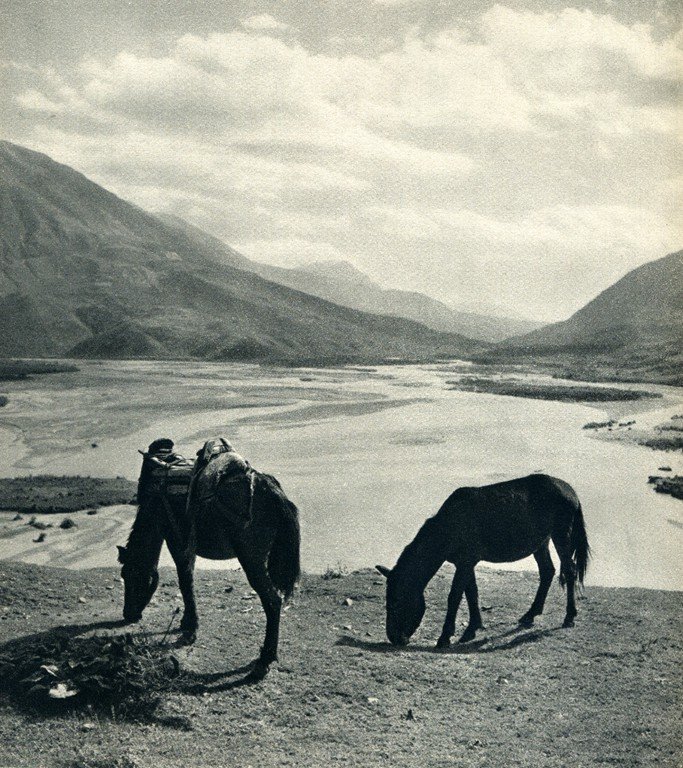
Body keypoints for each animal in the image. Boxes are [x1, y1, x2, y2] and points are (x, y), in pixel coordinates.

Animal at [117, 438, 301, 679]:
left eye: (131, 576)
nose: (128, 614)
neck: (156, 500)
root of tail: (273, 493)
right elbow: (188, 578)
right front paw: (187, 622)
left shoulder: (176, 537)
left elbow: (185, 579)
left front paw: (190, 628)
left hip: (252, 560)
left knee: (272, 601)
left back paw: (264, 661)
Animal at [375, 473, 590, 648]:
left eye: (395, 602)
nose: (394, 638)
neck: (448, 528)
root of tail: (572, 492)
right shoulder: (466, 561)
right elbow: (472, 593)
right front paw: (472, 629)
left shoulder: (466, 561)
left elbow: (455, 596)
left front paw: (445, 637)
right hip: (541, 541)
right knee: (547, 571)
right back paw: (530, 614)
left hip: (561, 534)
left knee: (569, 570)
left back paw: (569, 616)